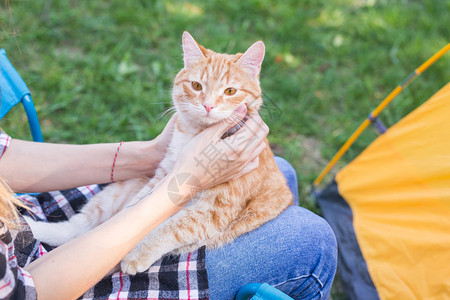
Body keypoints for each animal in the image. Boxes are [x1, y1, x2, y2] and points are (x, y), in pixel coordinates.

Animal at [25, 32, 292, 274]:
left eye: (230, 91)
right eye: (197, 86)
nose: (208, 105)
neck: (195, 134)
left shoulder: (214, 209)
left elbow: (172, 226)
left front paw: (137, 253)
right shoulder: (161, 177)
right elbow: (140, 211)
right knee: (78, 227)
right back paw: (35, 229)